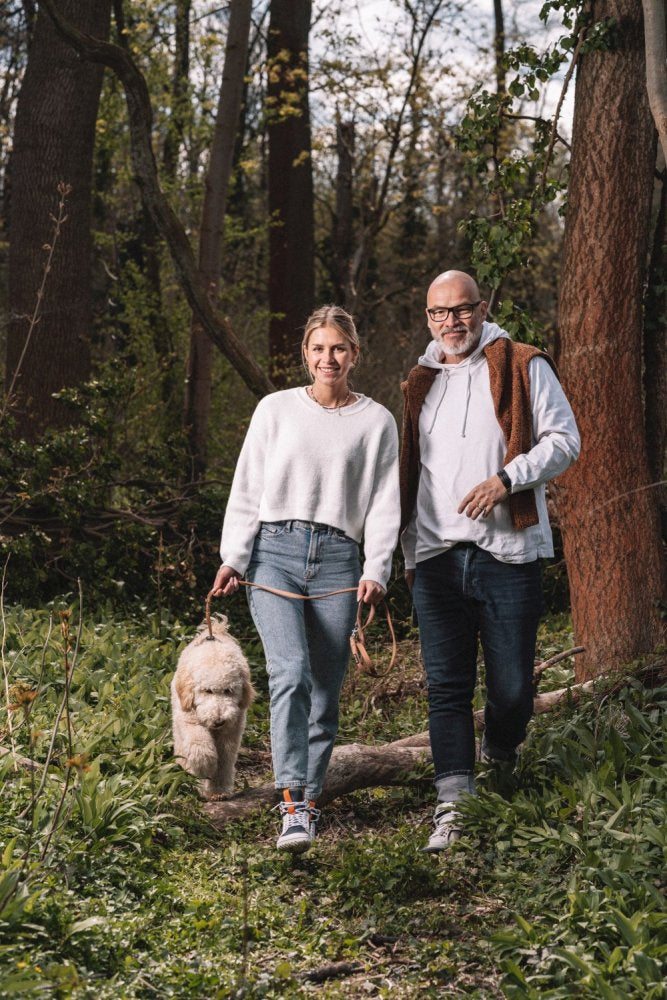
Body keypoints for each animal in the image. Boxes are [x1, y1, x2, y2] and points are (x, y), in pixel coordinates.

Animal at [172, 612, 256, 800]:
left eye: (228, 691)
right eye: (207, 691)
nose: (219, 721)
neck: (213, 653)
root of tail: (215, 630)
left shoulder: (231, 730)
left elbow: (225, 760)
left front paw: (218, 790)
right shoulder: (189, 718)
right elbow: (199, 743)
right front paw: (204, 766)